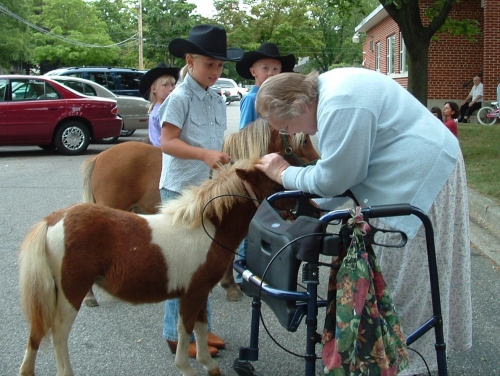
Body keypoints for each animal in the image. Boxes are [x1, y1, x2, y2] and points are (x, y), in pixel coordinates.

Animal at [19, 159, 292, 376]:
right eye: (275, 188)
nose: (298, 209)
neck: (208, 228)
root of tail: (53, 220)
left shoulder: (200, 291)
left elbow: (201, 326)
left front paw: (209, 364)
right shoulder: (193, 292)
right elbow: (186, 329)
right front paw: (187, 367)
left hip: (50, 294)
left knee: (35, 334)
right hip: (69, 294)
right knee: (58, 334)